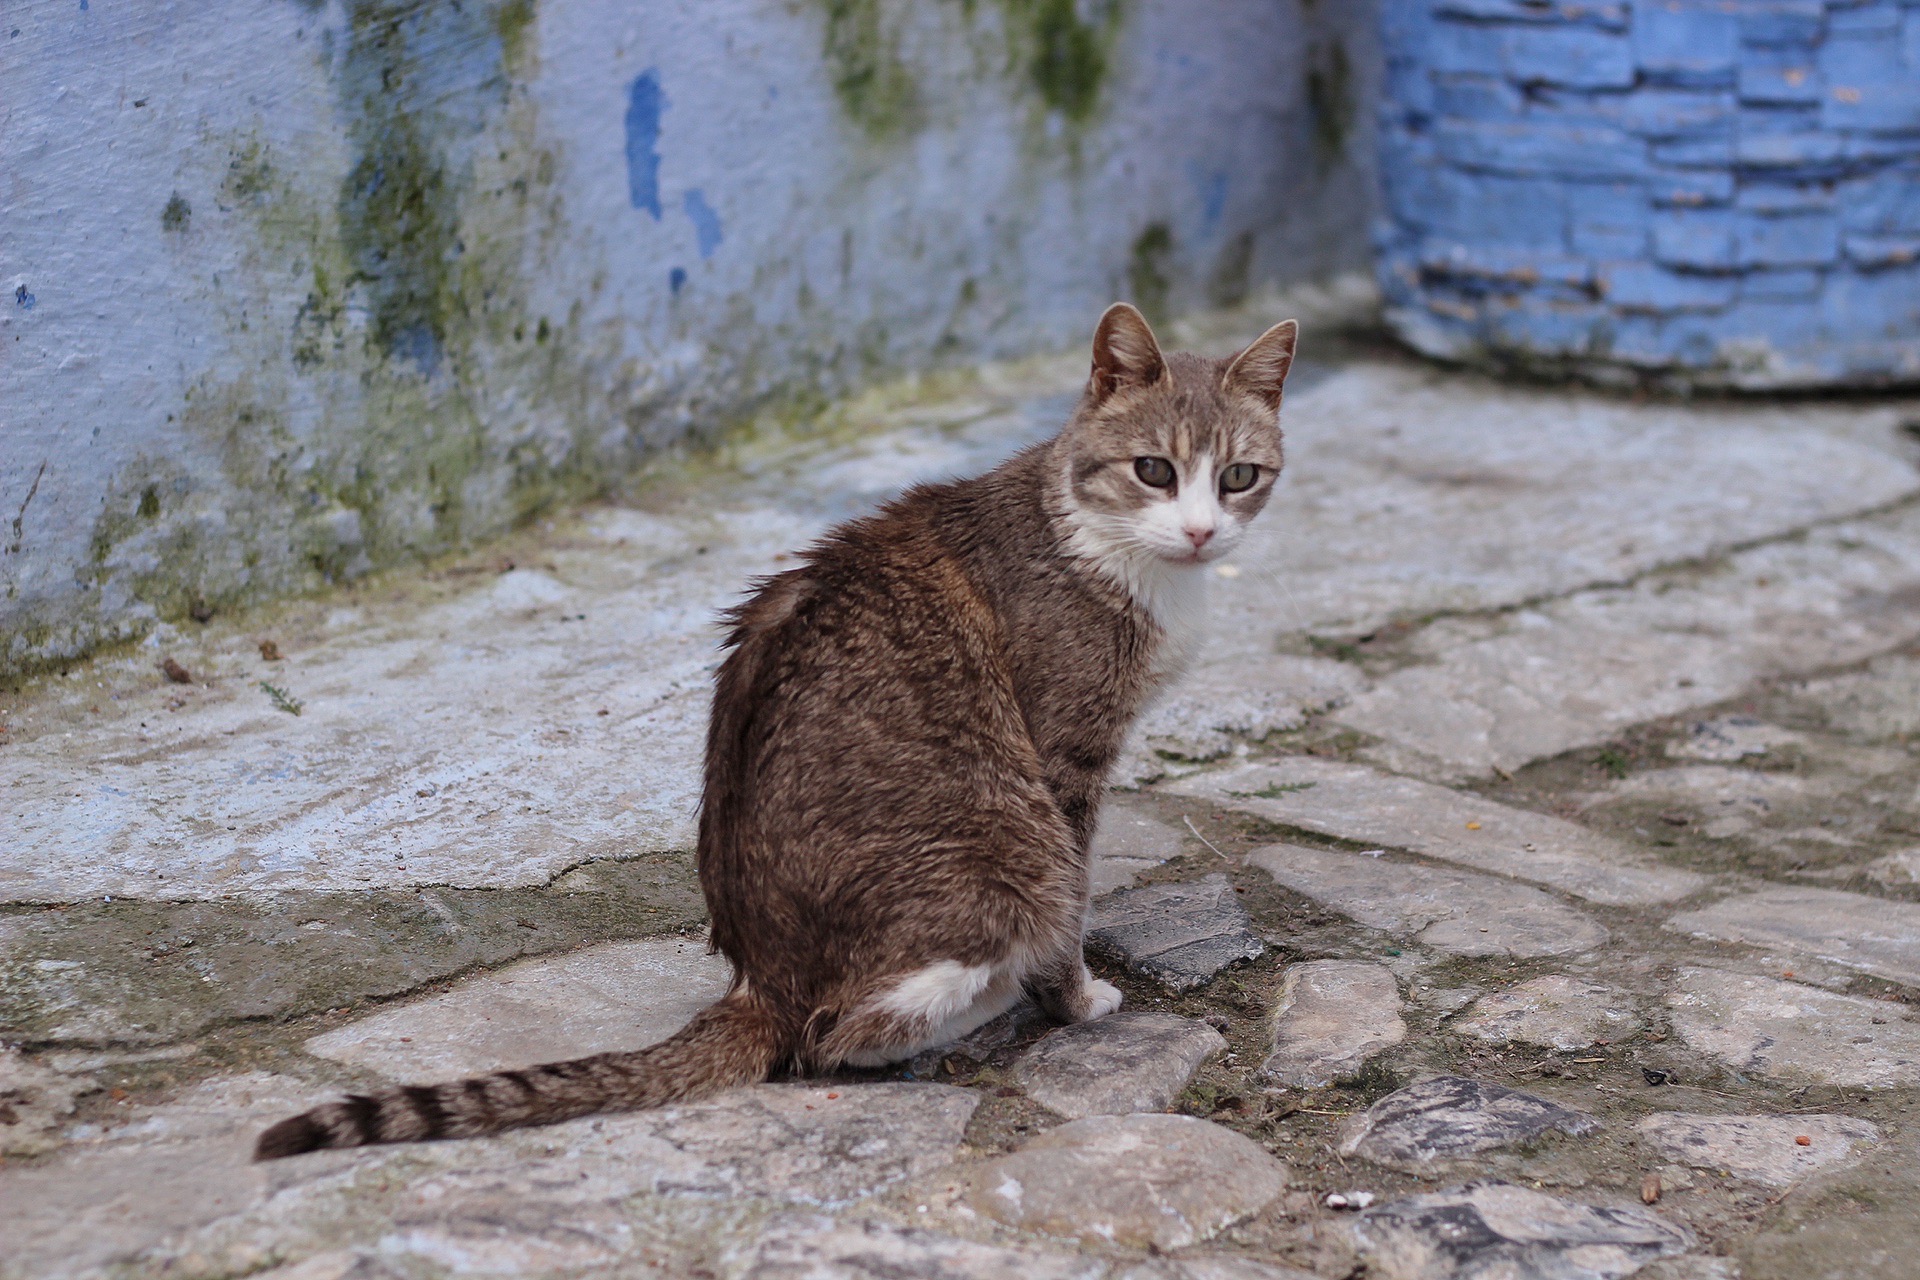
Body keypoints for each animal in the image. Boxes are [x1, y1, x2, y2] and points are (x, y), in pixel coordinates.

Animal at [255, 303, 1297, 1159]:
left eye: (1239, 476)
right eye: (1154, 470)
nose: (1202, 532)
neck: (1104, 545)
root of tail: (759, 979)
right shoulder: (1065, 754)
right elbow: (1073, 906)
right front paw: (1074, 1000)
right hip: (1010, 847)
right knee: (832, 1037)